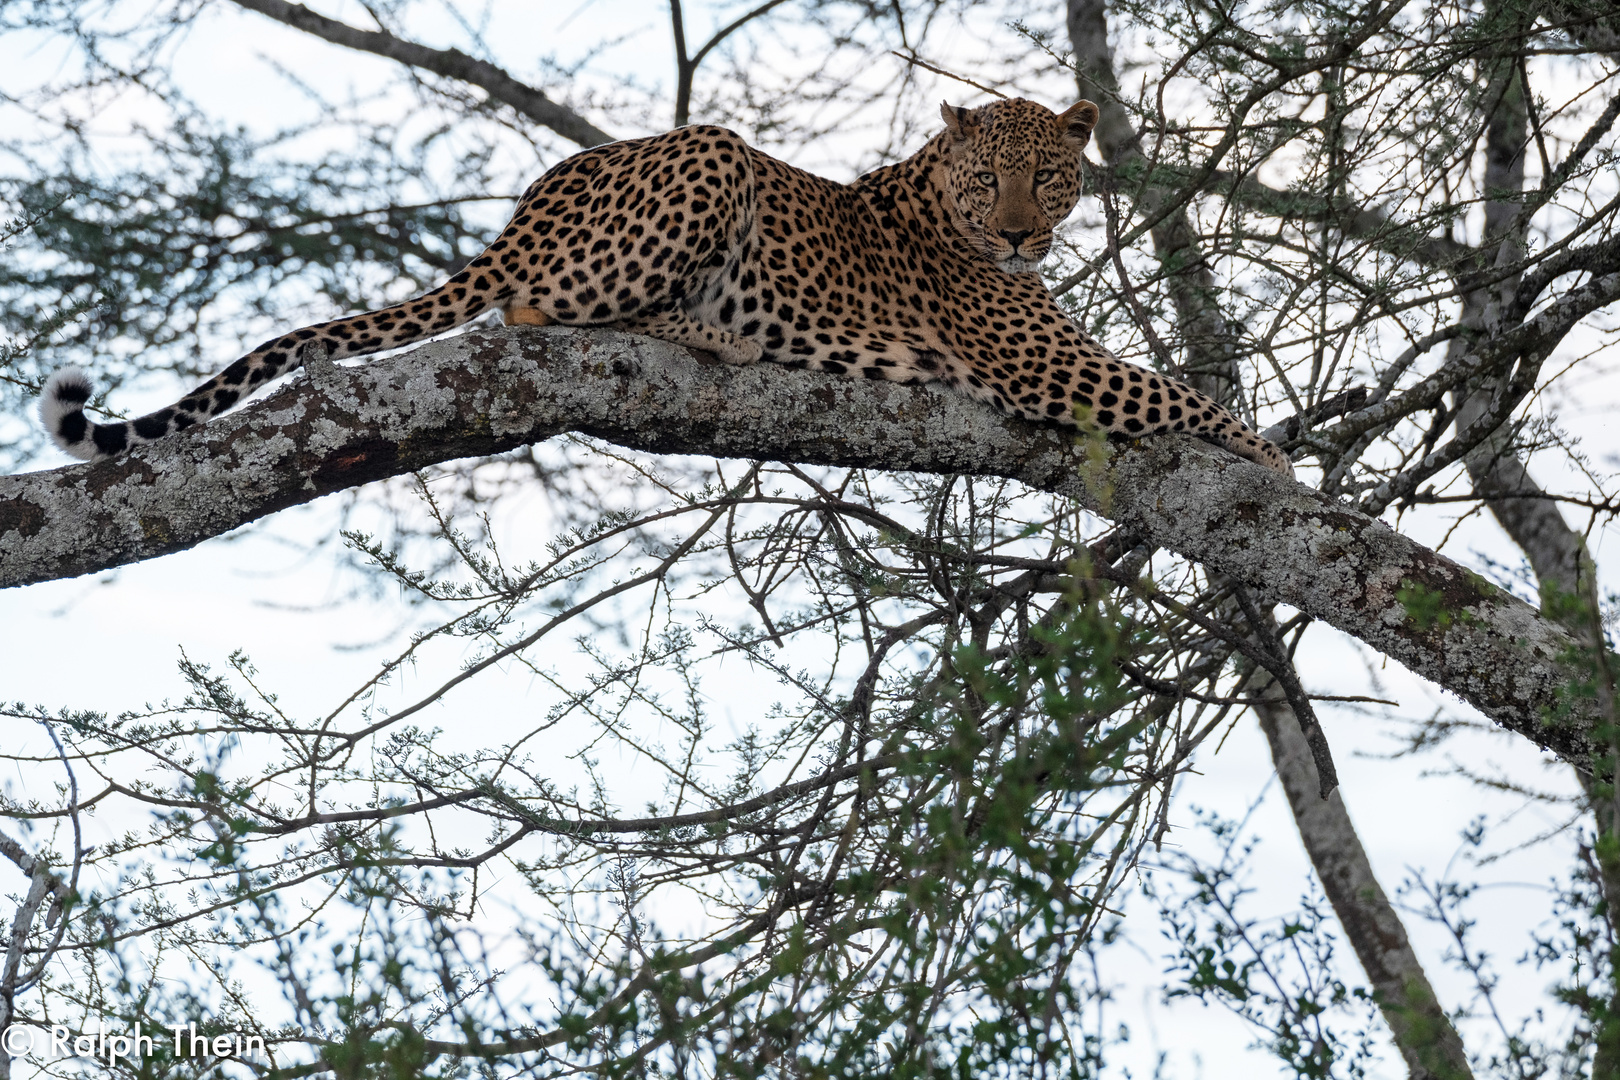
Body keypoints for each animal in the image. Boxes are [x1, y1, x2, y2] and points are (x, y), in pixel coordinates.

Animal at [38, 99, 1289, 479]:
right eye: (990, 181)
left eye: (1052, 176)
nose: (1025, 234)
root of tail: (533, 199)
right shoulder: (1042, 361)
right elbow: (1180, 397)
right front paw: (1287, 464)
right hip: (714, 156)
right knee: (533, 307)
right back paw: (711, 329)